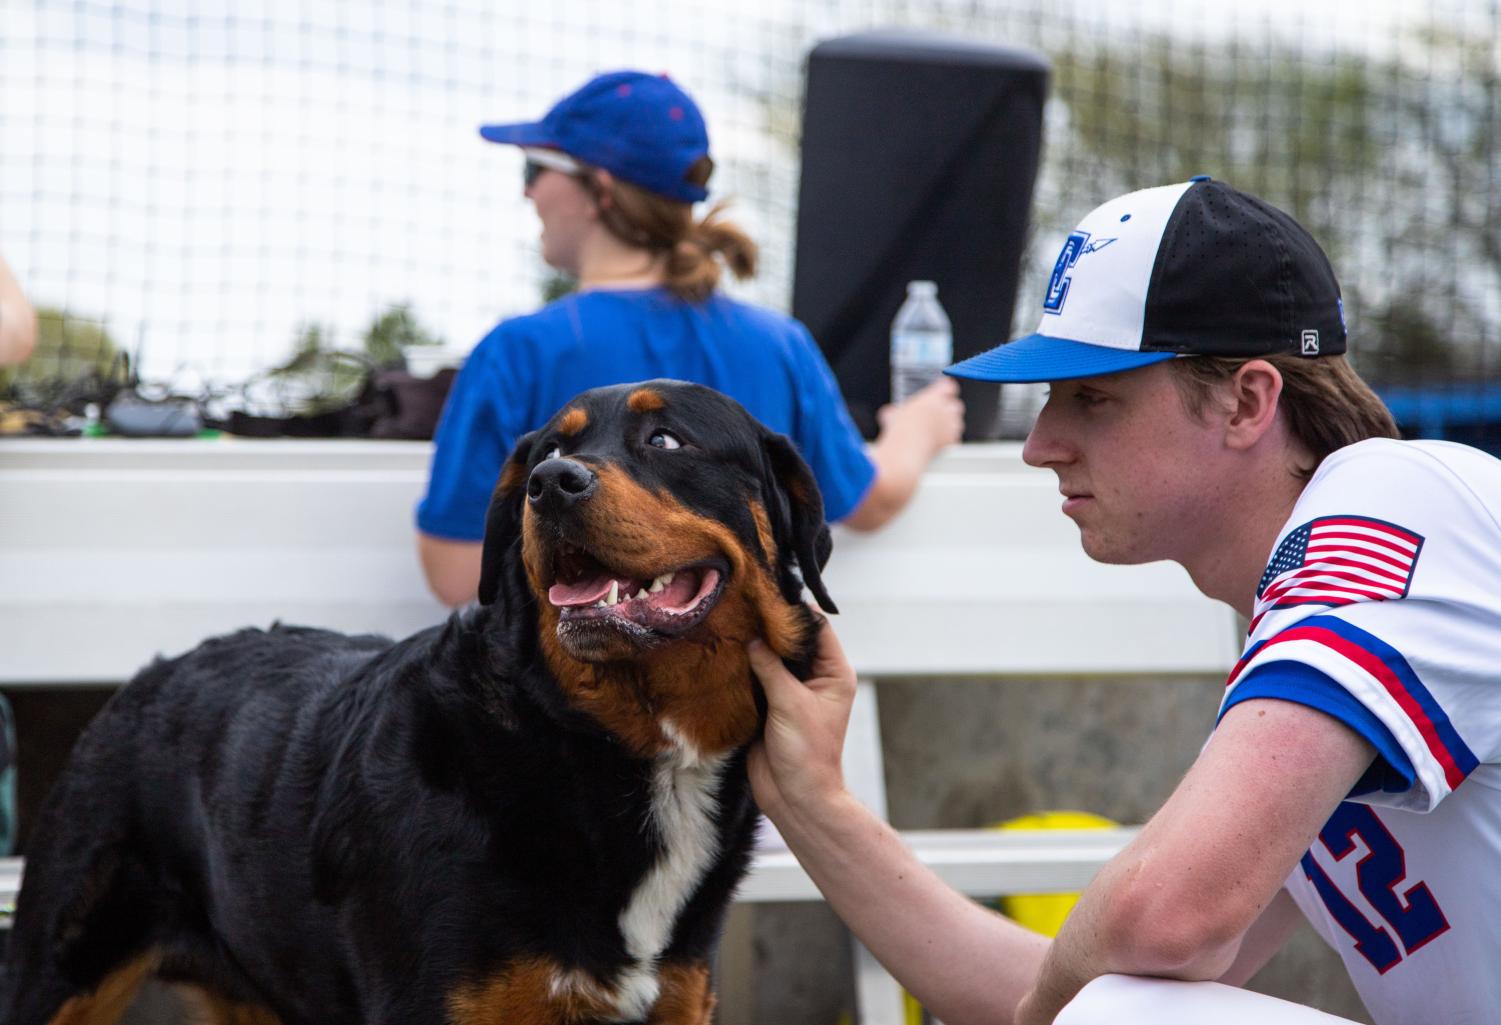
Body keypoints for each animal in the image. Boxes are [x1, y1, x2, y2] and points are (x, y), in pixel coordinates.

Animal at [5, 381, 840, 1025]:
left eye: (666, 440)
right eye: (546, 450)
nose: (551, 483)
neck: (609, 742)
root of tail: (147, 677)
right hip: (57, 966)